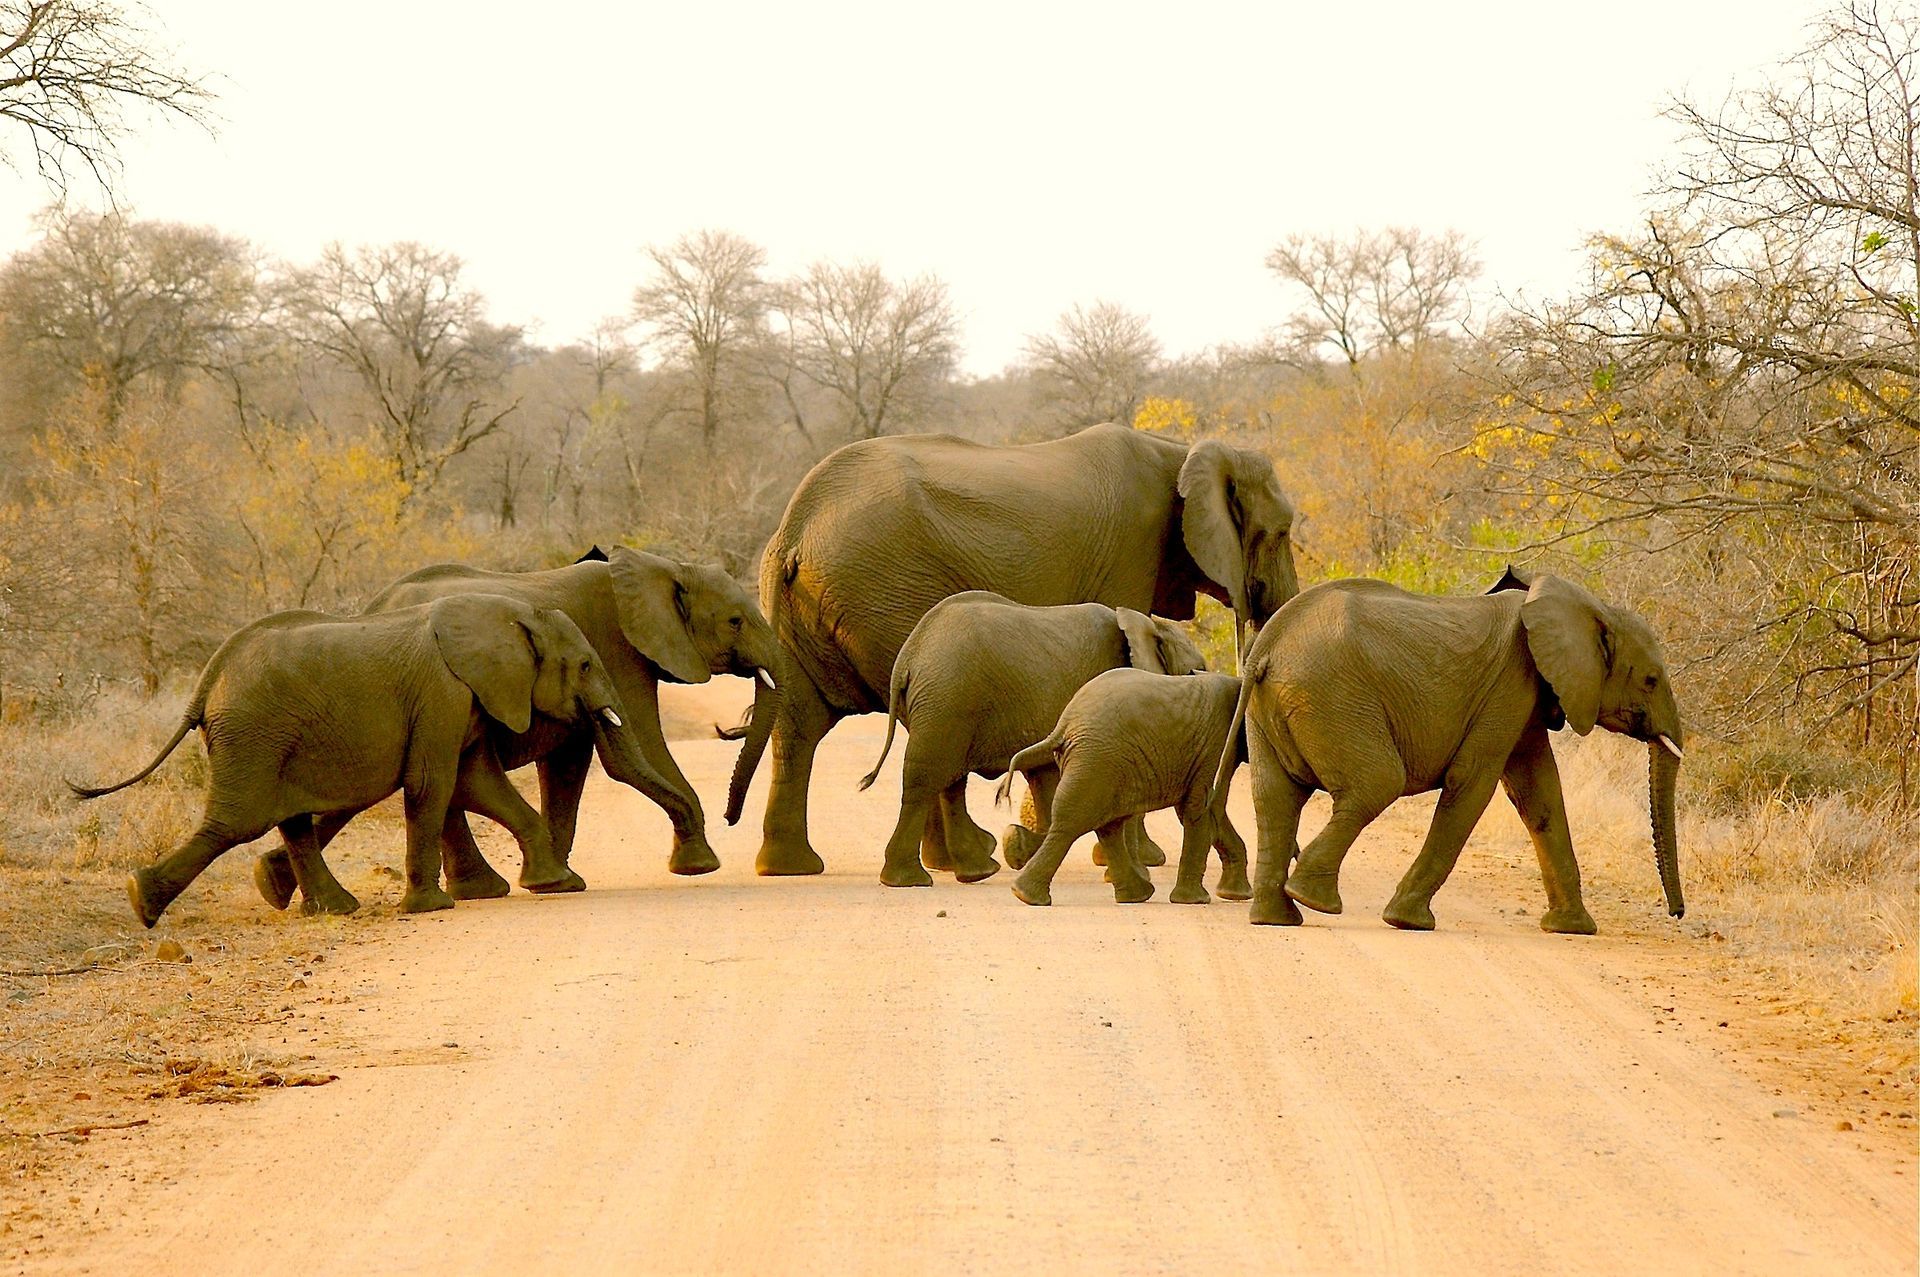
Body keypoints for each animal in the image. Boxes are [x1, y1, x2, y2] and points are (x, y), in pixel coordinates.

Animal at [71, 595, 666, 926]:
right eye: (584, 664)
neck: (508, 614)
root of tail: (206, 682)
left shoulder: (467, 697)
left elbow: (477, 782)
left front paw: (556, 886)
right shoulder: (442, 693)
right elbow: (433, 784)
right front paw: (433, 908)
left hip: (272, 739)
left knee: (290, 821)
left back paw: (333, 909)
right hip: (254, 735)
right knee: (236, 823)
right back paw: (141, 901)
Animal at [251, 545, 784, 912]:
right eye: (736, 621)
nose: (731, 819)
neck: (664, 567)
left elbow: (568, 769)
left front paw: (558, 876)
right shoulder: (619, 654)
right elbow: (635, 755)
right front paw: (699, 866)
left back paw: (271, 884)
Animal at [854, 591, 1208, 887]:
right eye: (1197, 670)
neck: (1149, 625)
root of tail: (909, 656)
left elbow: (1046, 781)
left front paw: (1019, 847)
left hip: (944, 705)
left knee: (949, 781)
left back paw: (977, 871)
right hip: (947, 698)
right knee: (927, 779)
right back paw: (911, 881)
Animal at [998, 668, 1249, 907]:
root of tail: (1063, 724)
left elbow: (1209, 812)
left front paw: (1236, 895)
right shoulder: (1216, 746)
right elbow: (1204, 808)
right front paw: (1198, 901)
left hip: (1104, 764)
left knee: (1107, 825)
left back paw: (1135, 896)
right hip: (1098, 759)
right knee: (1075, 823)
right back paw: (1026, 895)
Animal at [1217, 574, 1685, 933]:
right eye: (1650, 680)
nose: (1677, 913)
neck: (1590, 607)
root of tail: (1266, 646)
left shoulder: (1526, 698)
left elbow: (1539, 794)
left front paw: (1573, 929)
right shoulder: (1511, 683)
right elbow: (1473, 784)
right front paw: (1407, 922)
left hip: (1273, 707)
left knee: (1275, 798)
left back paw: (1277, 918)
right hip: (1332, 697)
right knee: (1377, 784)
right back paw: (1314, 901)